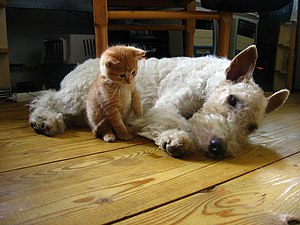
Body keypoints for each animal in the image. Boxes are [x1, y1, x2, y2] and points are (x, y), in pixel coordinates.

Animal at [29, 45, 290, 158]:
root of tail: (78, 66)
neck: (207, 84)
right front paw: (177, 138)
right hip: (77, 96)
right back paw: (43, 120)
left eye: (252, 127)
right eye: (232, 99)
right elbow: (176, 121)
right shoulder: (165, 106)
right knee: (48, 97)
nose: (218, 147)